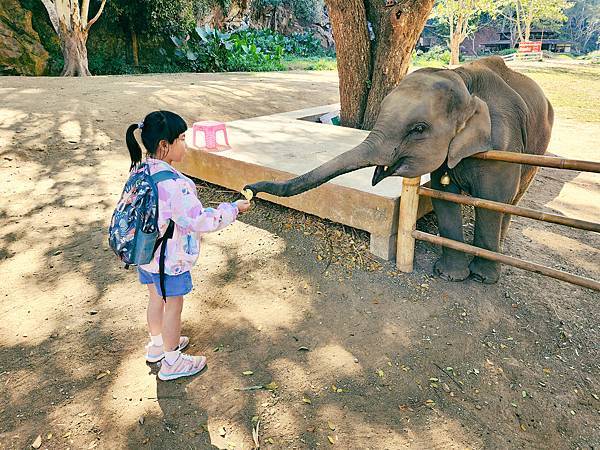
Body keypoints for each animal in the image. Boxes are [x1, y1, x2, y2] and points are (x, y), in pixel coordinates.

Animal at [246, 55, 556, 282]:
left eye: (418, 129)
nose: (249, 189)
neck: (464, 81)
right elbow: (442, 197)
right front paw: (448, 276)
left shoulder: (503, 145)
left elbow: (492, 201)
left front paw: (481, 279)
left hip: (537, 150)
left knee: (512, 200)